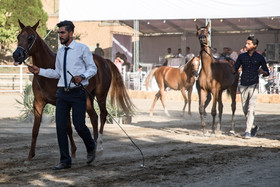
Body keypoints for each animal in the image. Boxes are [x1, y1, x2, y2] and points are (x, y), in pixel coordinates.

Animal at [12, 20, 135, 163]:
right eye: (18, 36)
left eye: (30, 37)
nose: (16, 55)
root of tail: (104, 60)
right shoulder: (38, 103)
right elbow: (36, 130)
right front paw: (29, 156)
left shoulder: (62, 102)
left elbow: (68, 128)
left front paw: (73, 153)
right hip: (88, 98)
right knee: (94, 117)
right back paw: (93, 145)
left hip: (101, 96)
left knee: (103, 115)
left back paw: (99, 147)